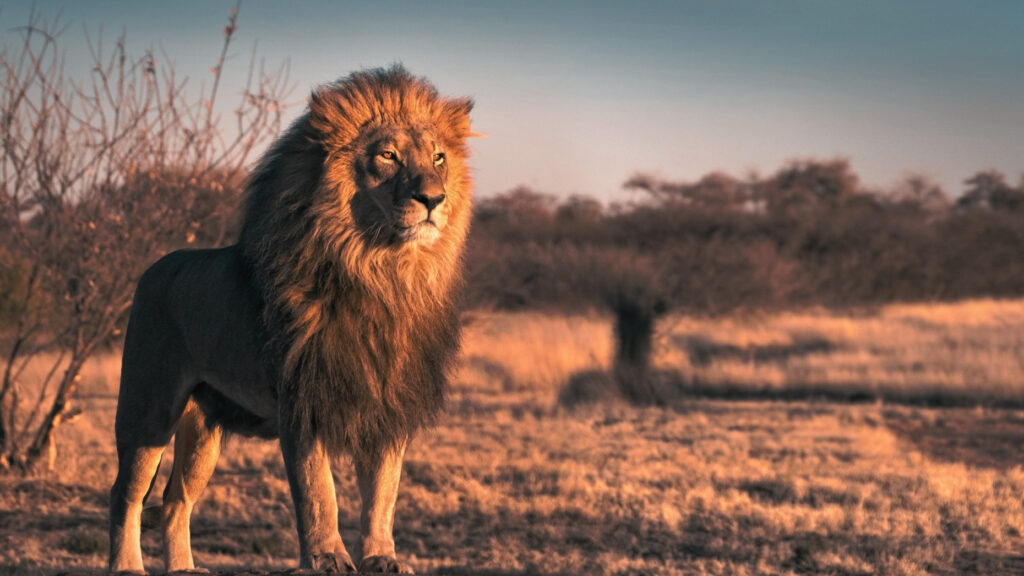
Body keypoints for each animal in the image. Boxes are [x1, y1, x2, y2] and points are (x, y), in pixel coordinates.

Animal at [108, 66, 475, 569]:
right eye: (387, 155)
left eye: (438, 158)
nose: (434, 198)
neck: (382, 275)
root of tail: (153, 268)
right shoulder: (302, 401)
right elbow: (318, 491)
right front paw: (327, 558)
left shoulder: (388, 403)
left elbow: (383, 492)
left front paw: (381, 557)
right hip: (149, 408)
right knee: (125, 494)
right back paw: (128, 566)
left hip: (203, 428)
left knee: (174, 500)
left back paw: (184, 569)